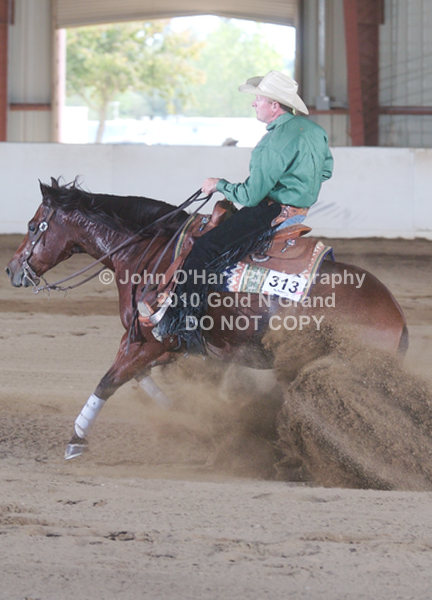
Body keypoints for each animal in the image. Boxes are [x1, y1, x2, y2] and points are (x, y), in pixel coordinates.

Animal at [6, 179, 408, 460]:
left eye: (33, 224)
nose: (11, 270)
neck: (150, 253)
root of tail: (396, 314)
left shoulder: (150, 339)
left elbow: (110, 381)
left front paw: (77, 440)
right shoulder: (175, 346)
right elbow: (139, 377)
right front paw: (191, 421)